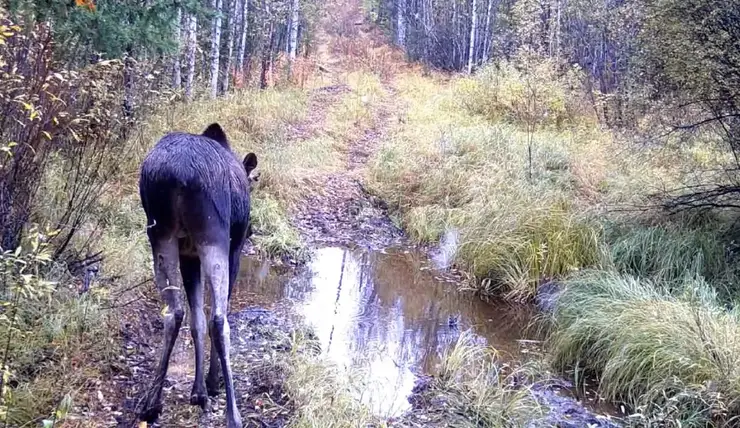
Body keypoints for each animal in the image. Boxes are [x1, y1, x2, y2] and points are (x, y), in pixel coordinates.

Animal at [138, 123, 258, 428]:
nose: (253, 230)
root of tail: (179, 176)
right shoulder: (235, 249)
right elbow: (213, 315)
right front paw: (211, 384)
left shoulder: (189, 257)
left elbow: (196, 320)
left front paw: (199, 391)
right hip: (214, 236)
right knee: (219, 318)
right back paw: (233, 414)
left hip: (160, 235)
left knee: (174, 312)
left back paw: (151, 404)